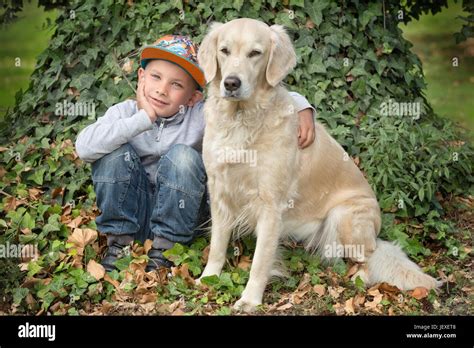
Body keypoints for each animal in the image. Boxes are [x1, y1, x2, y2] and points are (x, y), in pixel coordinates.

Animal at [196, 18, 440, 312]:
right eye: (224, 50)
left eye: (255, 53)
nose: (231, 83)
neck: (242, 120)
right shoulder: (219, 191)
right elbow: (217, 244)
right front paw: (208, 278)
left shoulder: (270, 205)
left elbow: (260, 261)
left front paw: (250, 300)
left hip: (344, 216)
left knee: (368, 257)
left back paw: (360, 277)